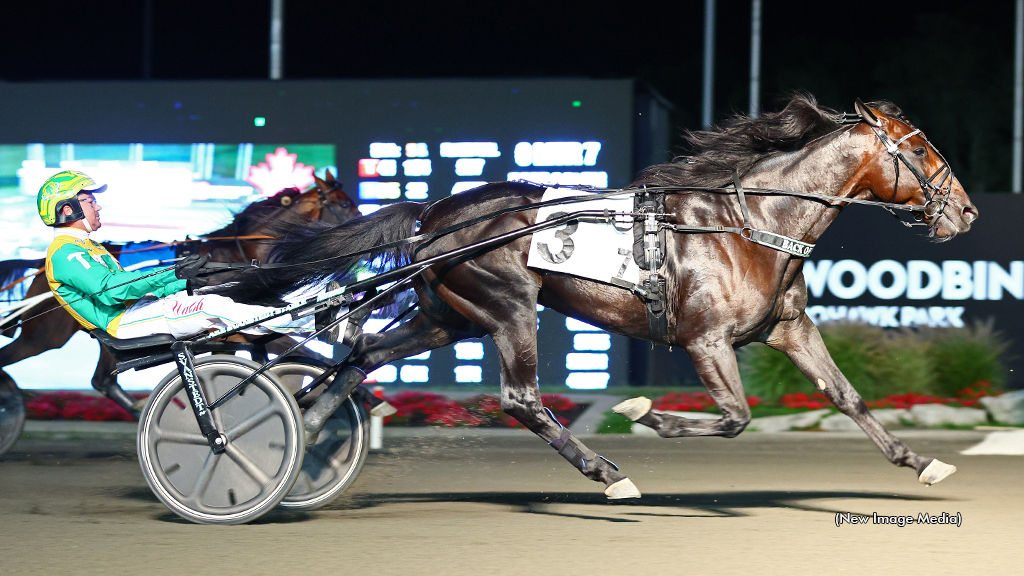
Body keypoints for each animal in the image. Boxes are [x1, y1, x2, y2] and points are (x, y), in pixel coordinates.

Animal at [218, 96, 974, 496]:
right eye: (921, 150)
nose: (964, 211)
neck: (751, 222)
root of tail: (435, 214)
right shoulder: (705, 339)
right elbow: (733, 416)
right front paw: (647, 416)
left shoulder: (788, 329)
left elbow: (847, 396)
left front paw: (919, 461)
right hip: (508, 306)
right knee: (521, 399)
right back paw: (605, 471)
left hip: (448, 317)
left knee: (364, 356)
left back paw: (304, 439)